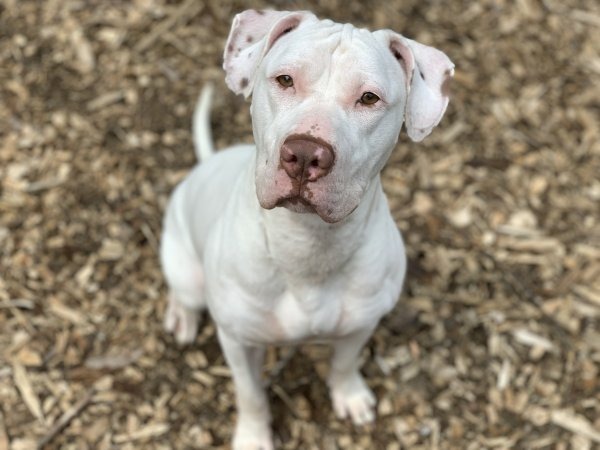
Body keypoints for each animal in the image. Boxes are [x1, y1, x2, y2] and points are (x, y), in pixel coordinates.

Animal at [162, 8, 452, 448]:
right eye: (285, 80)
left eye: (369, 98)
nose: (303, 154)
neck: (308, 243)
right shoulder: (239, 342)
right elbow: (250, 393)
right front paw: (253, 436)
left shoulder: (360, 324)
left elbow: (345, 363)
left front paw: (349, 395)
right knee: (186, 295)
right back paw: (182, 316)